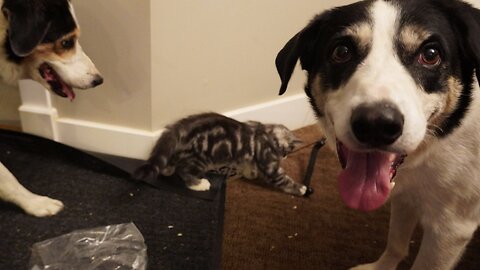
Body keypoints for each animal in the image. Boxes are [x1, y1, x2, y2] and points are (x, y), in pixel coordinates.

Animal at [132, 112, 312, 196]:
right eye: (286, 151)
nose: (285, 156)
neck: (266, 132)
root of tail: (181, 127)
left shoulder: (246, 157)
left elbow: (247, 163)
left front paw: (250, 173)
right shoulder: (270, 165)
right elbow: (283, 179)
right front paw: (301, 188)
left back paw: (167, 169)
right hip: (200, 158)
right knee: (183, 170)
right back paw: (198, 184)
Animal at [276, 0, 480, 268]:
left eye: (431, 55)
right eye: (341, 51)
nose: (376, 125)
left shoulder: (451, 229)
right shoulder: (405, 194)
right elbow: (396, 242)